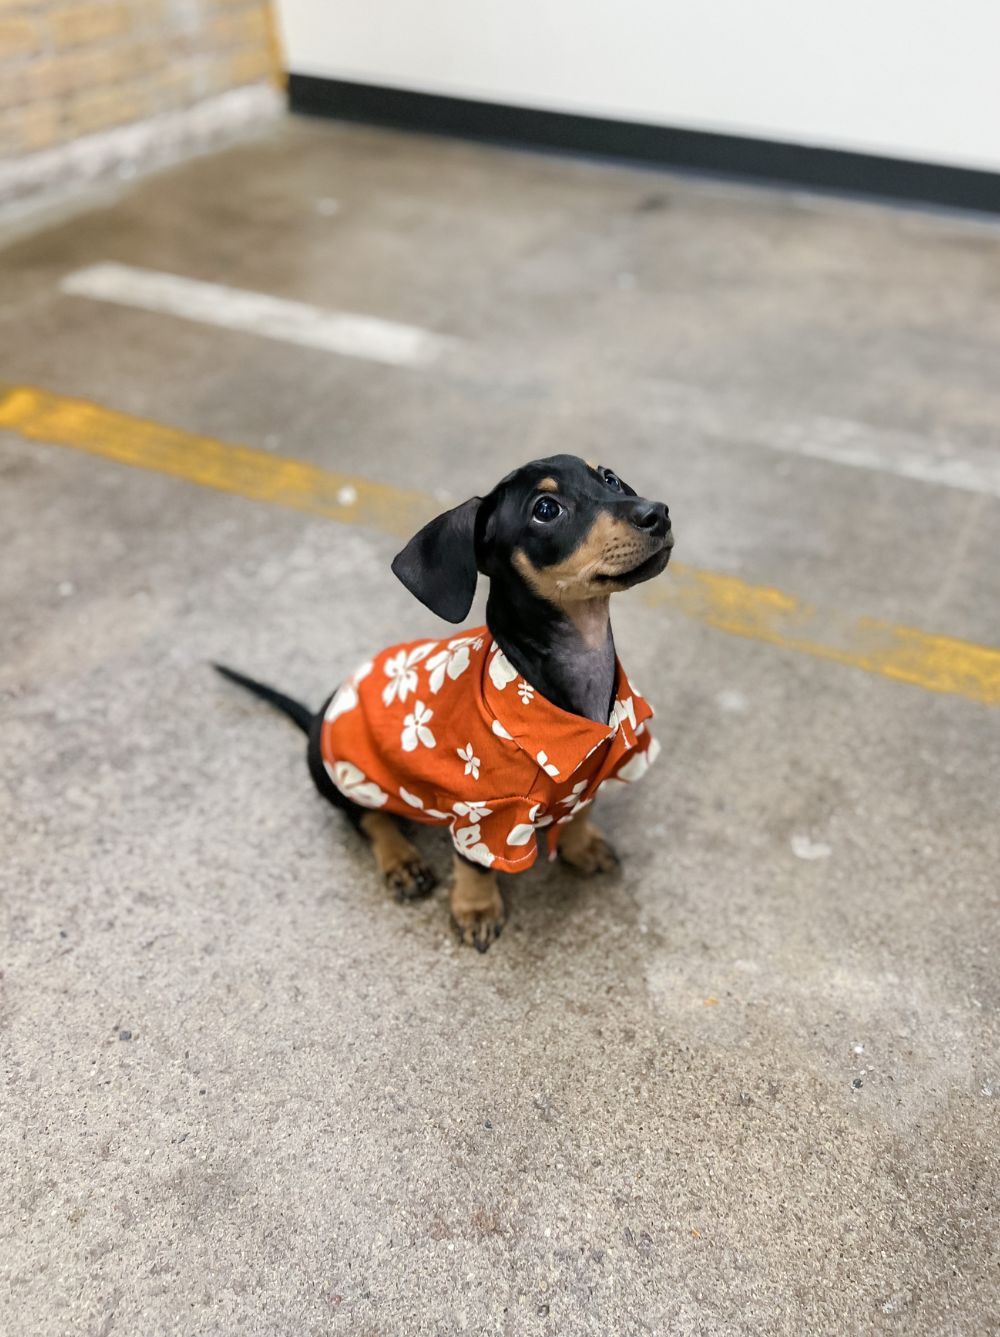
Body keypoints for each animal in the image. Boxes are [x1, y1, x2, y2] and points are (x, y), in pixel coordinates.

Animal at [216, 459, 671, 951]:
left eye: (609, 478)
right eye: (546, 509)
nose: (658, 513)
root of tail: (318, 714)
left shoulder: (599, 769)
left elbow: (581, 809)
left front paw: (581, 844)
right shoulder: (482, 814)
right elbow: (474, 863)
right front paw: (477, 908)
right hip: (334, 773)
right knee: (366, 817)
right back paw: (401, 860)